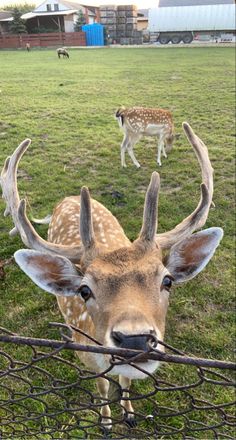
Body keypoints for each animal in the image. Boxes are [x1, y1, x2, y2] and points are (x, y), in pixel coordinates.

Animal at [0, 123, 223, 430]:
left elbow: (125, 380)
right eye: (84, 290)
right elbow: (103, 385)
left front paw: (129, 414)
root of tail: (69, 197)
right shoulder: (89, 357)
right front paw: (105, 422)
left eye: (167, 281)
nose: (134, 340)